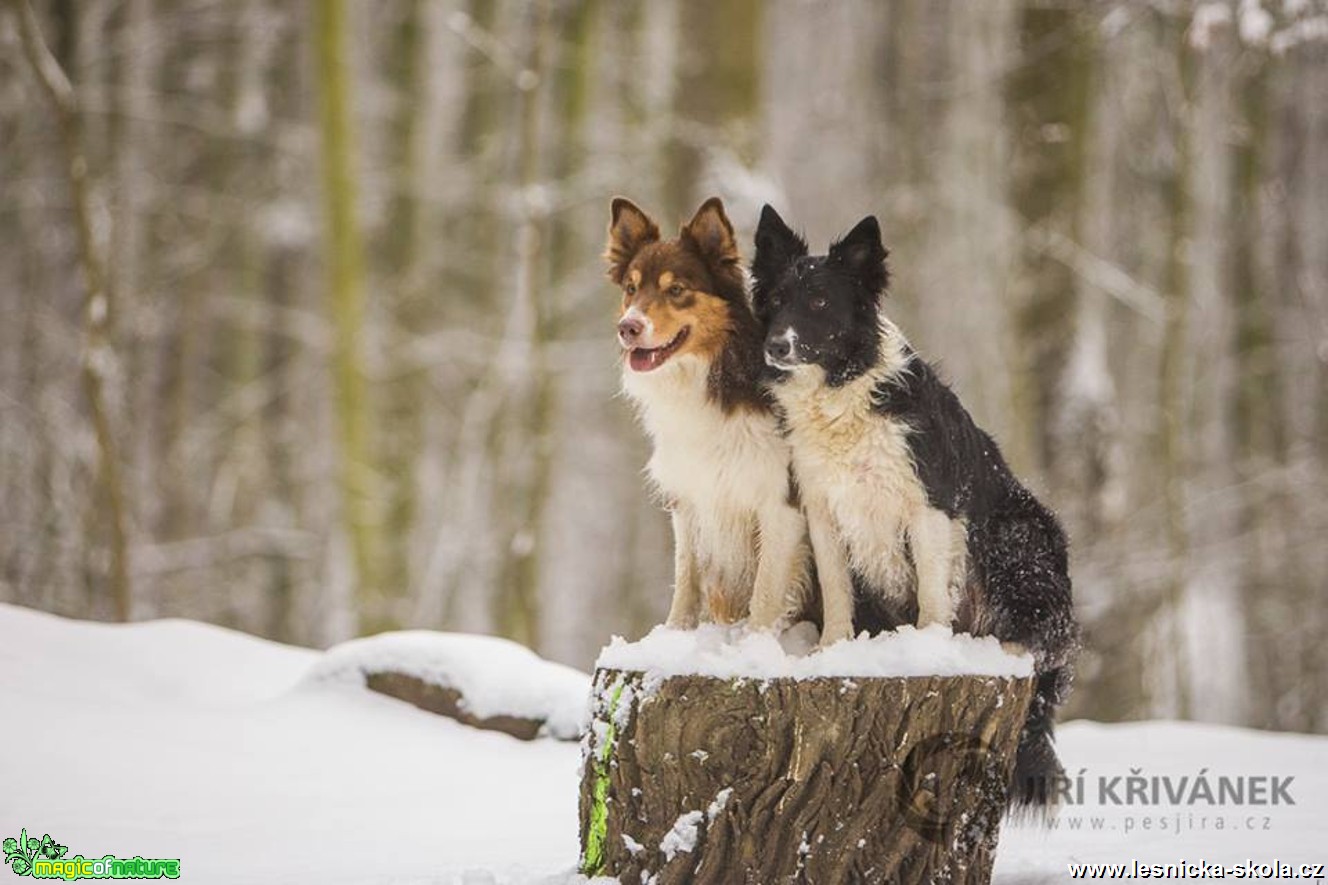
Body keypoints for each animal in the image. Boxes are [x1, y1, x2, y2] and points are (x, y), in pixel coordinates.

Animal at [605, 196, 807, 629]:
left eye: (676, 290)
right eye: (631, 289)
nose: (627, 327)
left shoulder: (780, 502)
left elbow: (765, 595)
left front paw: (755, 642)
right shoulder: (689, 496)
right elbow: (687, 580)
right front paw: (675, 633)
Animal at [754, 204, 1073, 807]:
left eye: (820, 303)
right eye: (776, 299)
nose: (775, 346)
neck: (843, 395)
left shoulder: (930, 507)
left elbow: (930, 591)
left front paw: (927, 650)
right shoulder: (823, 510)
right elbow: (836, 589)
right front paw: (832, 650)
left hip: (1019, 532)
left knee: (1044, 638)